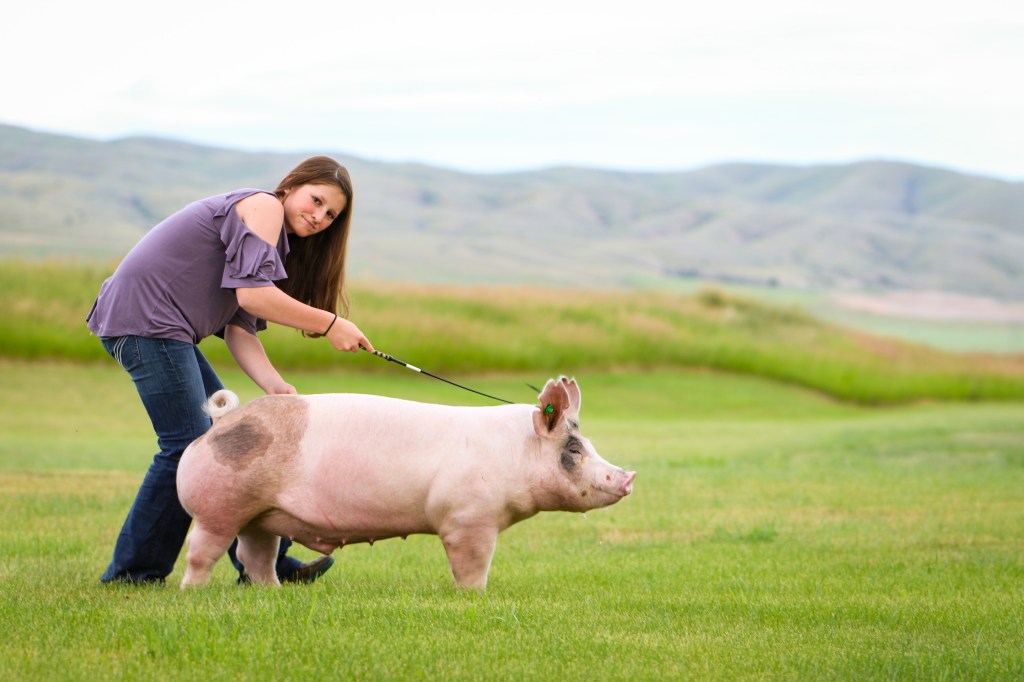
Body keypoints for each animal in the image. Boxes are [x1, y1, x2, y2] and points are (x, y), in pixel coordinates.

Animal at [177, 376, 635, 590]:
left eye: (588, 444)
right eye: (573, 449)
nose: (628, 476)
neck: (514, 454)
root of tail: (222, 421)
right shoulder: (469, 520)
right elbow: (473, 565)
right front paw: (475, 596)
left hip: (261, 516)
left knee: (255, 556)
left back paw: (273, 593)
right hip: (220, 507)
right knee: (202, 551)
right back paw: (192, 593)